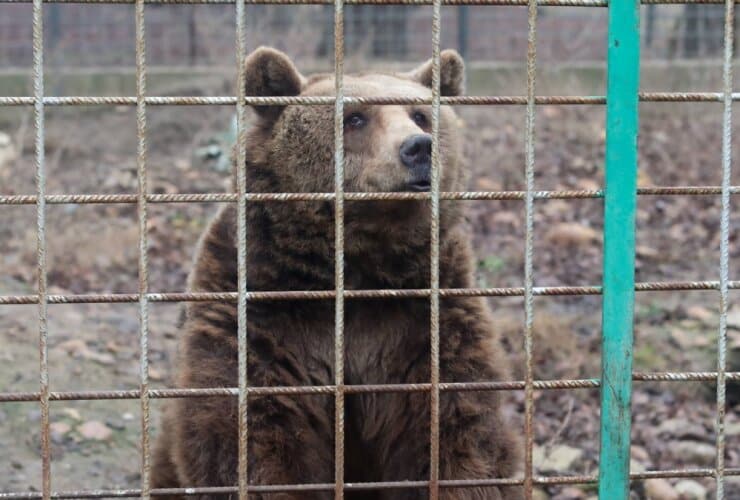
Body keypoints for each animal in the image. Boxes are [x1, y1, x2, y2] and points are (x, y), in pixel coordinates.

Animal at [151, 46, 523, 500]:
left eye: (420, 114)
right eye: (355, 117)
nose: (419, 148)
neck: (358, 262)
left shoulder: (424, 315)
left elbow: (457, 428)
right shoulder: (262, 310)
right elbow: (254, 438)